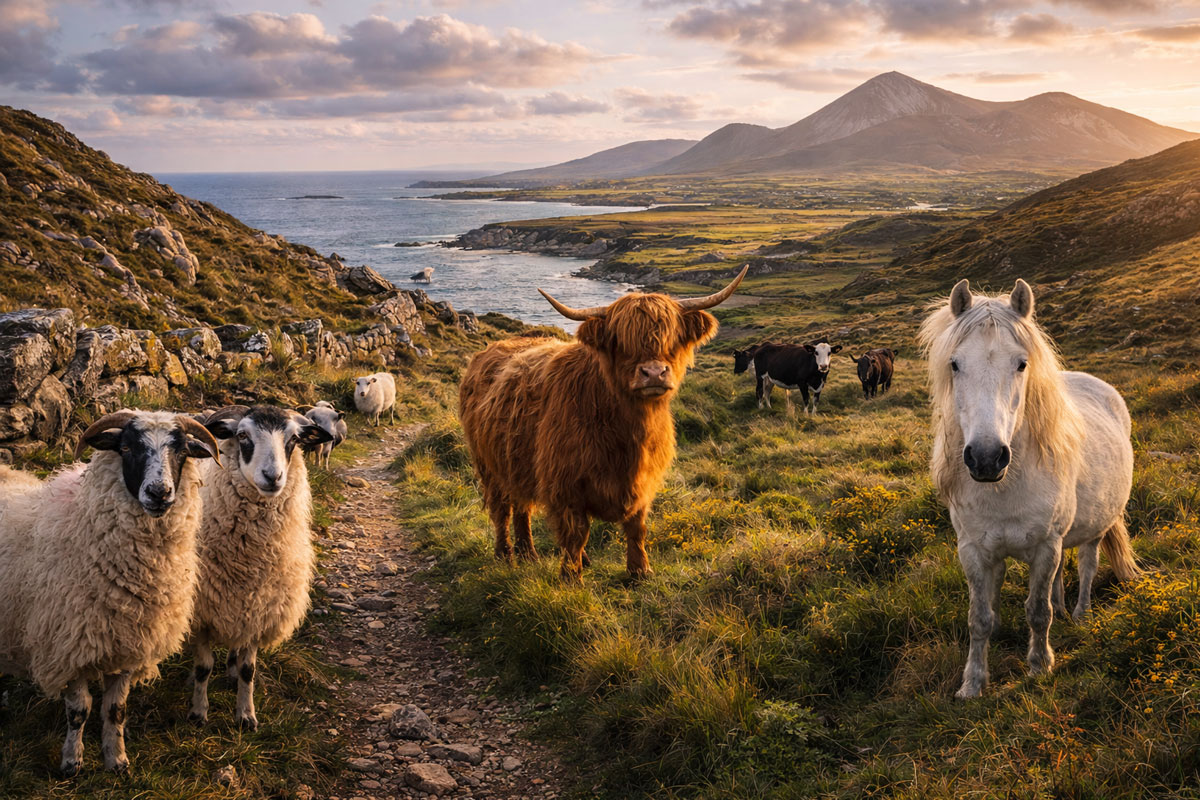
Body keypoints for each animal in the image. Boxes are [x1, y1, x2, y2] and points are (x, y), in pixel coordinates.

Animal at [0, 411, 219, 775]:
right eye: (127, 447)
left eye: (181, 451)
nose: (159, 493)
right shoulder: (70, 645)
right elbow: (79, 711)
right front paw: (72, 762)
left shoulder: (130, 642)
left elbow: (116, 710)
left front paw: (116, 759)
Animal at [187, 405, 332, 731]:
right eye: (242, 435)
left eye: (293, 439)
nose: (272, 476)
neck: (249, 558)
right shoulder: (202, 613)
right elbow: (203, 668)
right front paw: (199, 714)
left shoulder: (259, 609)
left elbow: (248, 670)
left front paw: (246, 716)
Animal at [458, 266, 748, 581]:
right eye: (621, 342)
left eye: (671, 337)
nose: (654, 373)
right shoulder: (565, 483)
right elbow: (576, 533)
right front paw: (570, 578)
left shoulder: (643, 480)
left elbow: (636, 527)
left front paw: (639, 571)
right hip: (488, 465)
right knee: (502, 510)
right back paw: (506, 555)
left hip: (516, 462)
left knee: (522, 506)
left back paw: (530, 554)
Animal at [918, 278, 1138, 699]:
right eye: (955, 364)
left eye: (1021, 364)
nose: (987, 458)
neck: (1004, 489)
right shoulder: (975, 551)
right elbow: (980, 617)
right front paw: (972, 684)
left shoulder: (1045, 545)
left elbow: (1037, 611)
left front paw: (1039, 667)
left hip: (1094, 529)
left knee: (1087, 565)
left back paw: (1081, 614)